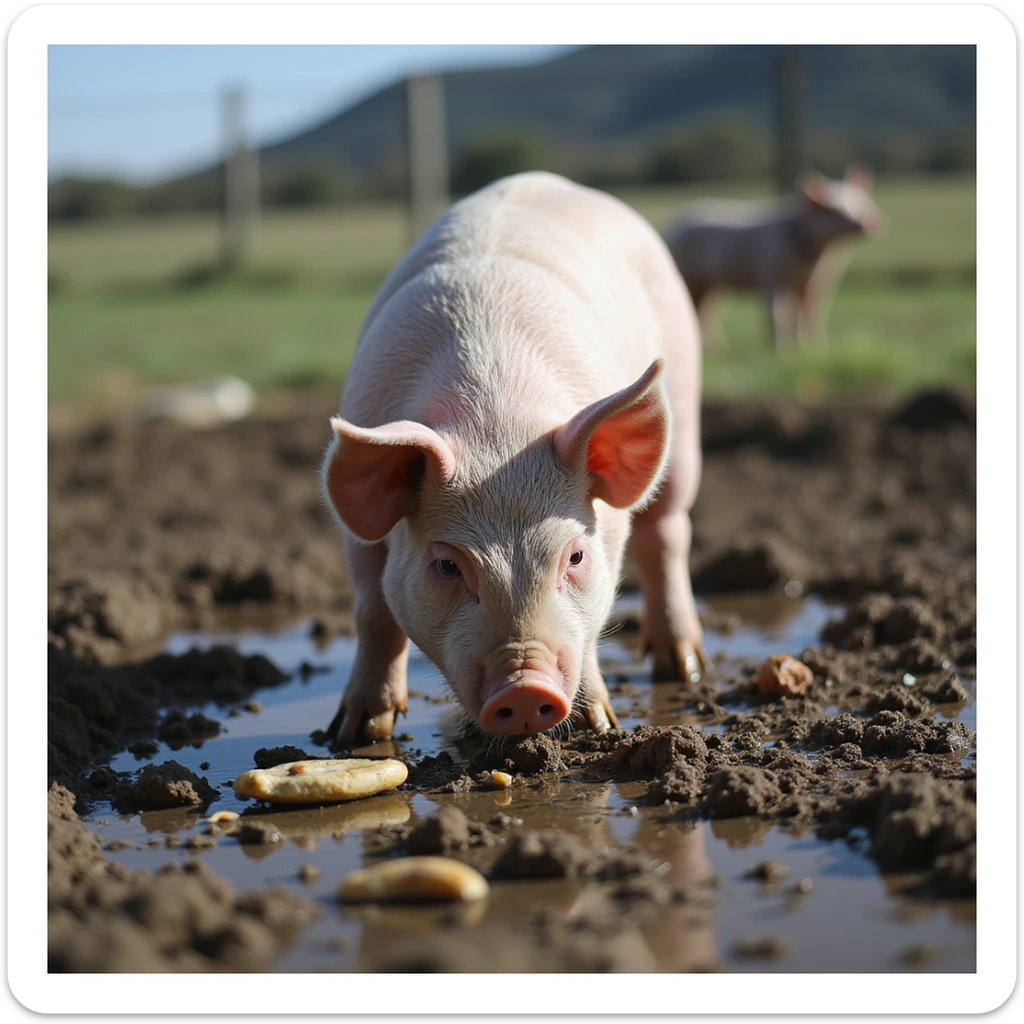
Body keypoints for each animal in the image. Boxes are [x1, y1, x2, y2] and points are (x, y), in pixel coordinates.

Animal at [320, 171, 707, 748]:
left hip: (683, 403)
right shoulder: (361, 542)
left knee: (667, 535)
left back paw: (683, 668)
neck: (496, 425)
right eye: (447, 565)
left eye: (576, 556)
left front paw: (598, 726)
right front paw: (354, 733)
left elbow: (594, 623)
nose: (524, 689)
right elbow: (373, 613)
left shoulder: (609, 531)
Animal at [663, 165, 886, 352]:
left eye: (859, 203)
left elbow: (811, 312)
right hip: (689, 277)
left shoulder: (819, 281)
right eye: (833, 209)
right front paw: (780, 352)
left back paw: (716, 347)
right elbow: (778, 311)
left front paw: (813, 348)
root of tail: (675, 225)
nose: (868, 222)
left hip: (713, 287)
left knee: (708, 311)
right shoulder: (771, 272)